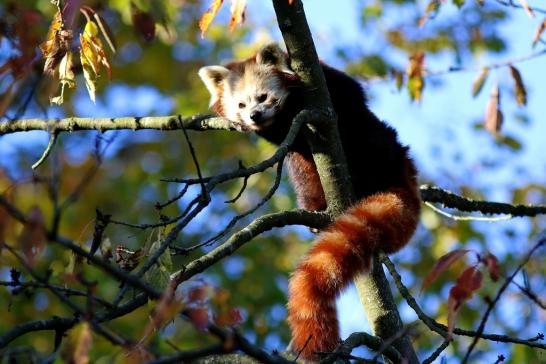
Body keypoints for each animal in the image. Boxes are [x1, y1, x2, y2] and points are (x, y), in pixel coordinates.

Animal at [198, 44, 418, 360]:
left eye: (262, 97)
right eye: (240, 105)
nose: (254, 115)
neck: (288, 113)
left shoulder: (329, 84)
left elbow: (349, 95)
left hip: (380, 144)